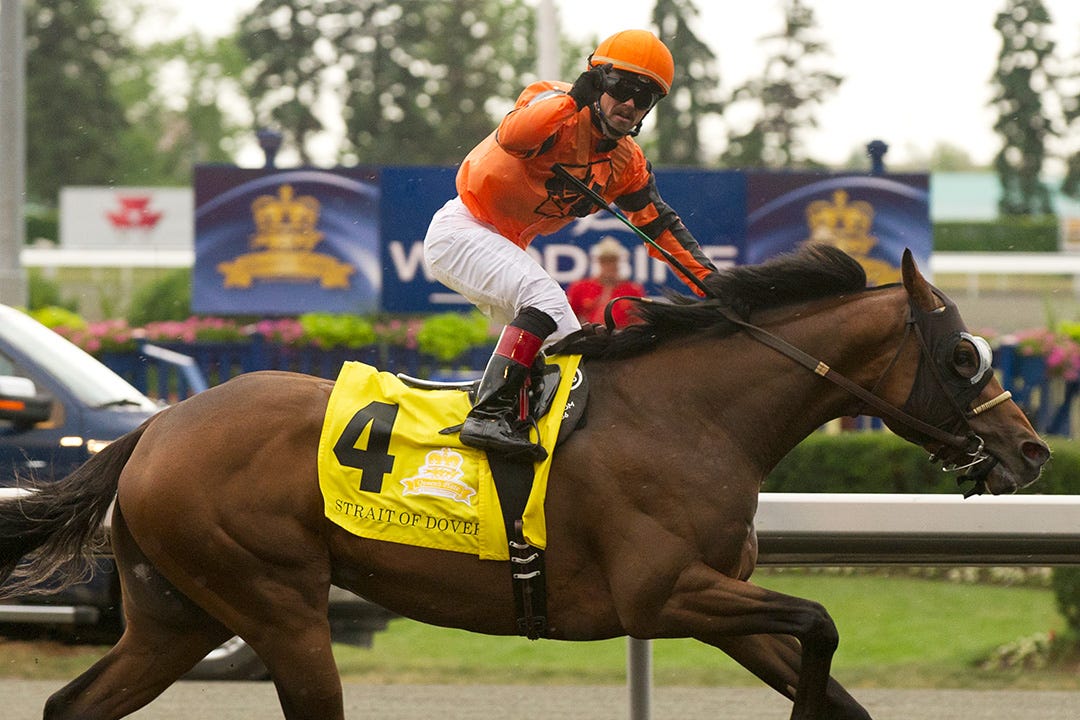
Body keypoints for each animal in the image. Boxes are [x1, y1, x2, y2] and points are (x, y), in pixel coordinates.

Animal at [0, 245, 1049, 720]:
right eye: (963, 355)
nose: (1033, 451)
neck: (692, 415)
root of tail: (159, 425)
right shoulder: (664, 594)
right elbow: (823, 622)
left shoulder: (721, 600)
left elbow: (831, 673)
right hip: (274, 603)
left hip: (178, 613)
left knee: (71, 706)